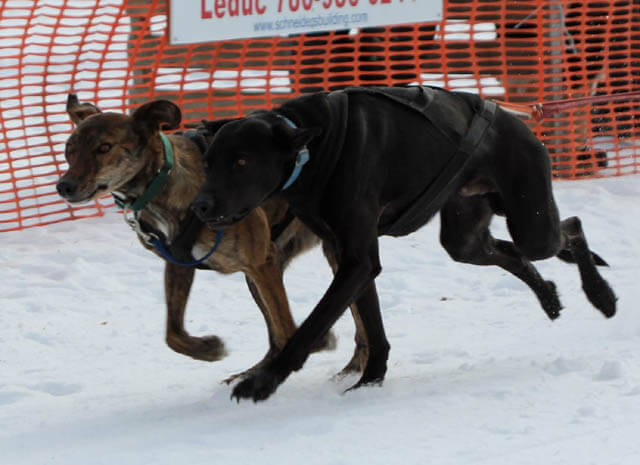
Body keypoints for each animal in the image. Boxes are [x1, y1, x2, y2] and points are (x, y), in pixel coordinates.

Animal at [56, 94, 344, 380]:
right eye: (69, 149)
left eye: (104, 147)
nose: (64, 186)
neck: (164, 183)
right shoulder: (179, 264)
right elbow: (172, 334)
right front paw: (207, 348)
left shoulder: (263, 262)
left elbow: (285, 327)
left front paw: (315, 343)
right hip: (259, 275)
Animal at [192, 86, 616, 398]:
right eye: (208, 163)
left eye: (242, 162)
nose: (200, 205)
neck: (312, 150)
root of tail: (518, 120)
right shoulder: (351, 258)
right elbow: (373, 326)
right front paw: (370, 382)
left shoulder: (357, 261)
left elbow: (311, 327)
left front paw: (264, 381)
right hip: (466, 237)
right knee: (512, 252)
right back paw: (548, 295)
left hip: (531, 222)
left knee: (570, 227)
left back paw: (601, 295)